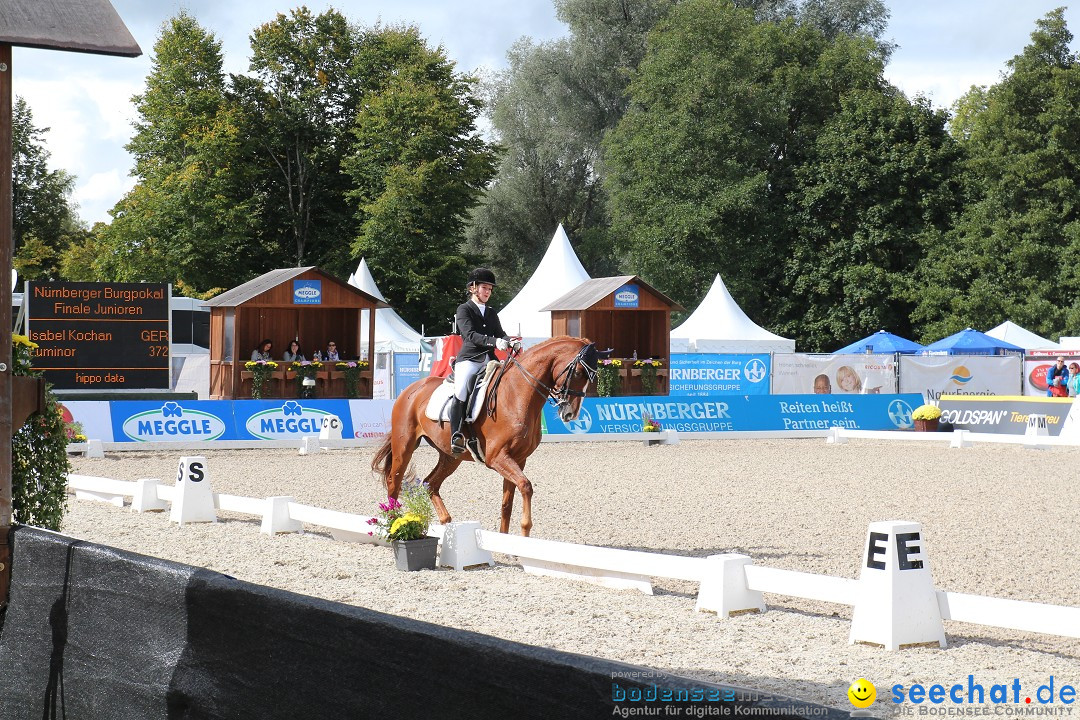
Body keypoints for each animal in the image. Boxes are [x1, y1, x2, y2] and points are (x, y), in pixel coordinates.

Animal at [371, 336, 600, 535]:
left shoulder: (518, 459)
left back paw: (446, 522)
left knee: (430, 483)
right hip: (405, 446)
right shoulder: (497, 457)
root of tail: (411, 389)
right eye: (578, 372)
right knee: (394, 483)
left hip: (451, 456)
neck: (517, 394)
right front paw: (525, 531)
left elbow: (507, 503)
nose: (570, 414)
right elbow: (526, 486)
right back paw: (393, 523)